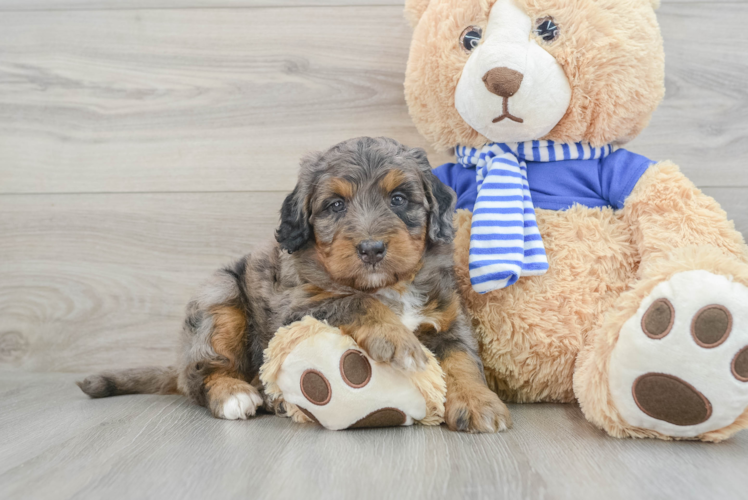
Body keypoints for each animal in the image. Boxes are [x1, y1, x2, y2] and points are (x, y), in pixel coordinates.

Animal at [80, 137, 516, 434]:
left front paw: (479, 403)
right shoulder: (296, 308)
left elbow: (462, 360)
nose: (371, 249)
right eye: (335, 205)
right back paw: (236, 394)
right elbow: (354, 301)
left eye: (398, 199)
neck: (387, 285)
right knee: (201, 375)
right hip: (220, 298)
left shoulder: (449, 317)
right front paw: (398, 339)